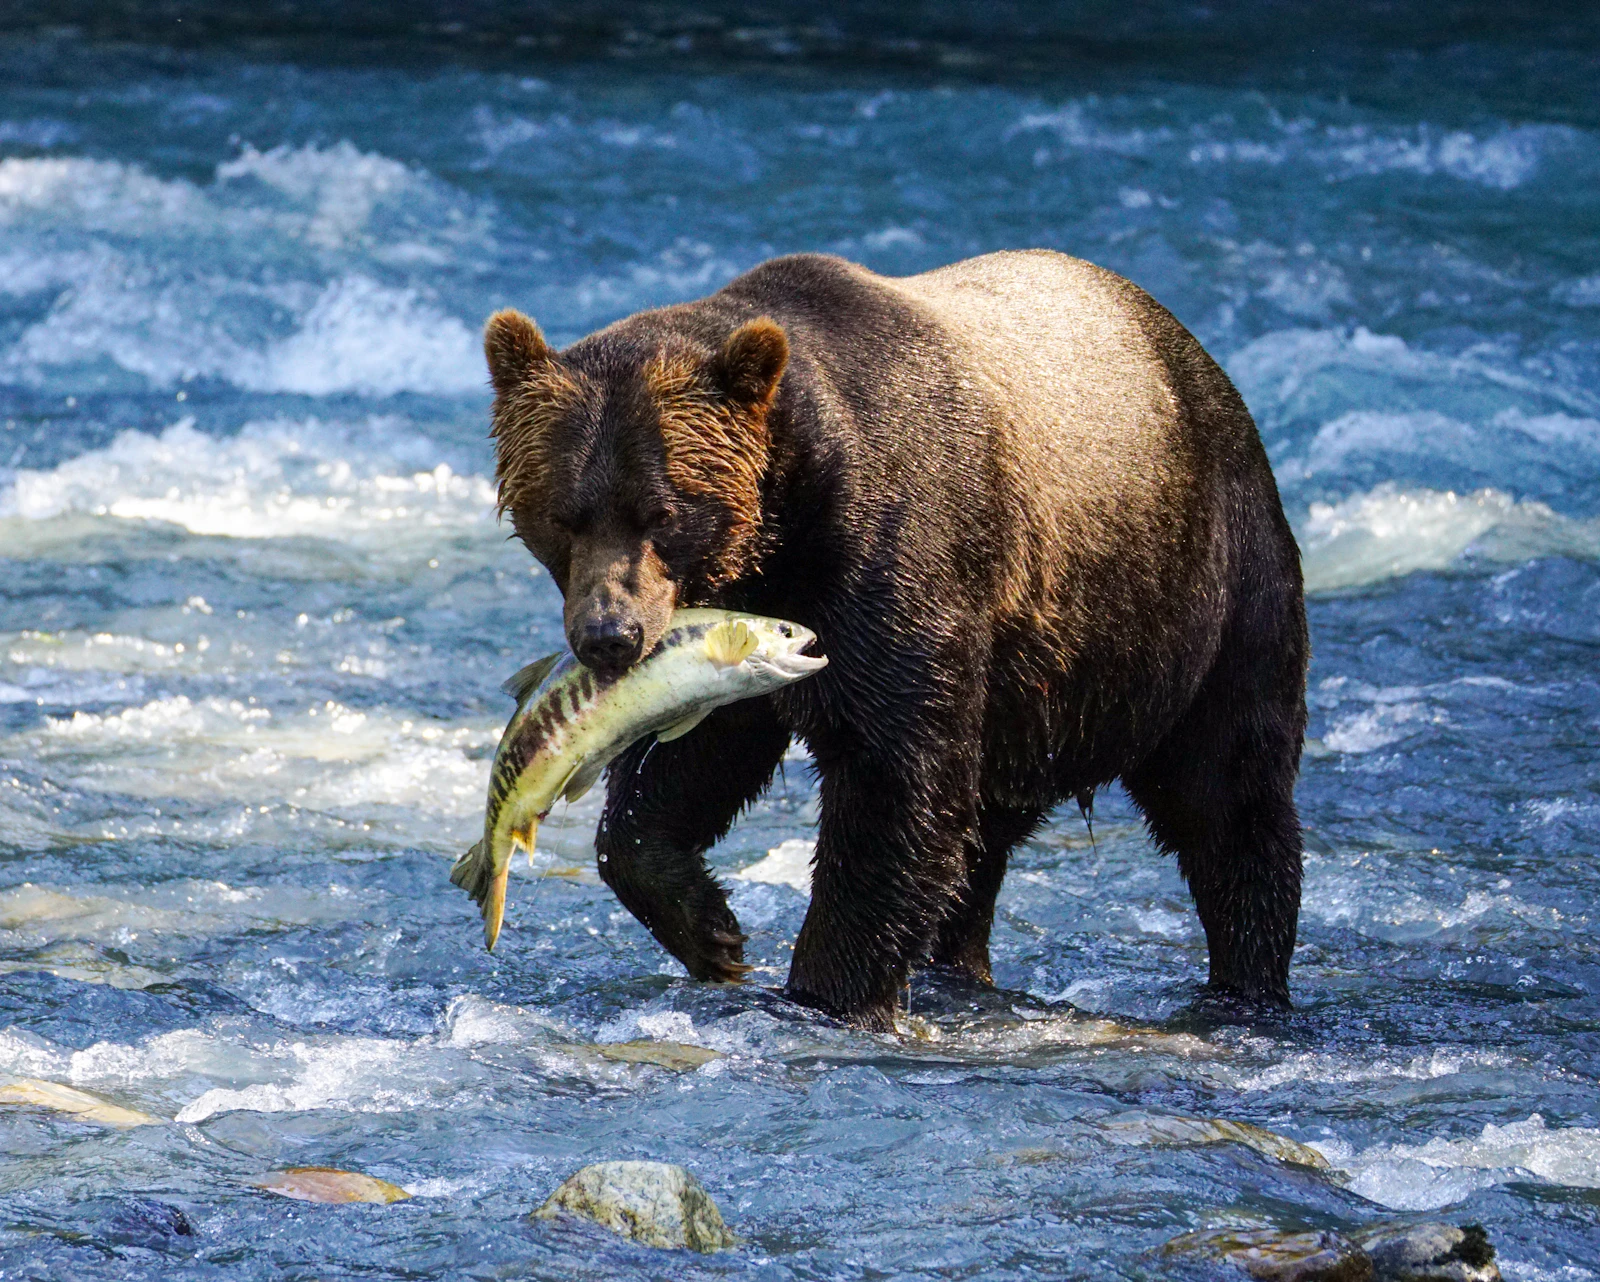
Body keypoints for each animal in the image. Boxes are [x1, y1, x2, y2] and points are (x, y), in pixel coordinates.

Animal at [483, 250, 1308, 1030]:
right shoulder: (746, 632)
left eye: (662, 511)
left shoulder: (895, 564)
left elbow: (894, 782)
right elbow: (690, 763)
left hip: (1202, 591)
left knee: (1229, 796)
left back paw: (1246, 983)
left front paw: (824, 991)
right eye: (562, 514)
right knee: (984, 836)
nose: (610, 635)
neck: (783, 532)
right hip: (1034, 693)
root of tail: (1198, 357)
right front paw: (711, 930)